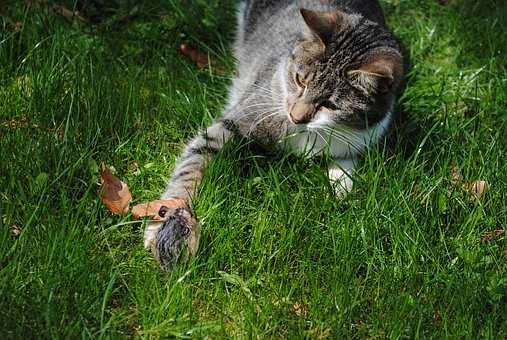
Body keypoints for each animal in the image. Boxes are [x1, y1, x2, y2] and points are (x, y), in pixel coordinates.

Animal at [144, 0, 404, 270]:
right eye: (300, 80)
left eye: (330, 105)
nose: (296, 117)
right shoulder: (240, 117)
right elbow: (194, 159)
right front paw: (166, 221)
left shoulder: (362, 136)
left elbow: (346, 164)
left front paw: (340, 188)